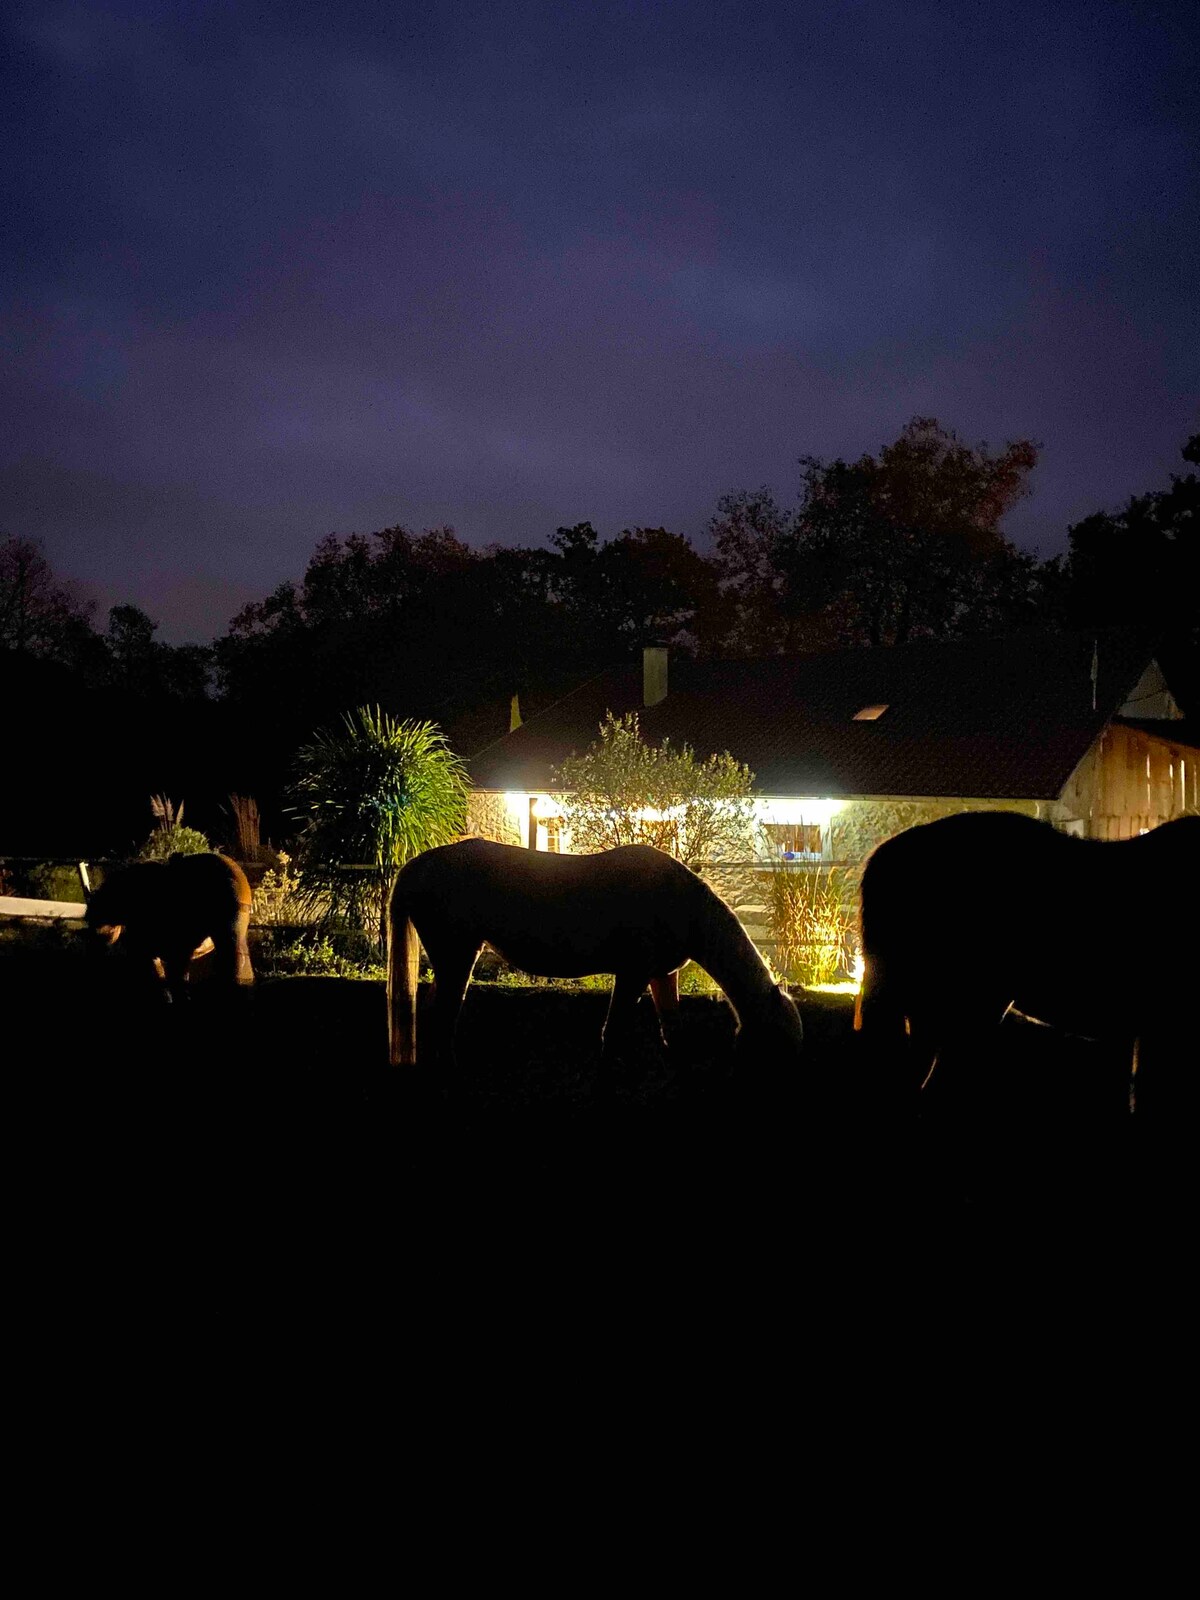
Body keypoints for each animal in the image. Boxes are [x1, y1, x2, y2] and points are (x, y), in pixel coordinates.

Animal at [390, 838, 803, 1075]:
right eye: (780, 1037)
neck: (684, 906)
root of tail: (416, 867)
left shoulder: (661, 975)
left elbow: (672, 1027)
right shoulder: (633, 974)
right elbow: (615, 1028)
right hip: (457, 956)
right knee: (442, 1014)